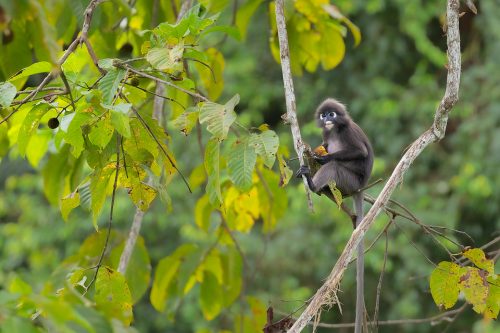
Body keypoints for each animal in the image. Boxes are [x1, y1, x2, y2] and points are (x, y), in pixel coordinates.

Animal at [294, 97, 374, 330]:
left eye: (332, 114)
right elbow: (325, 143)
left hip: (349, 181)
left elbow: (360, 152)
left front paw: (322, 159)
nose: (327, 119)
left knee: (335, 167)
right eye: (324, 115)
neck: (335, 130)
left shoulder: (347, 131)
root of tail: (360, 188)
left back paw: (313, 184)